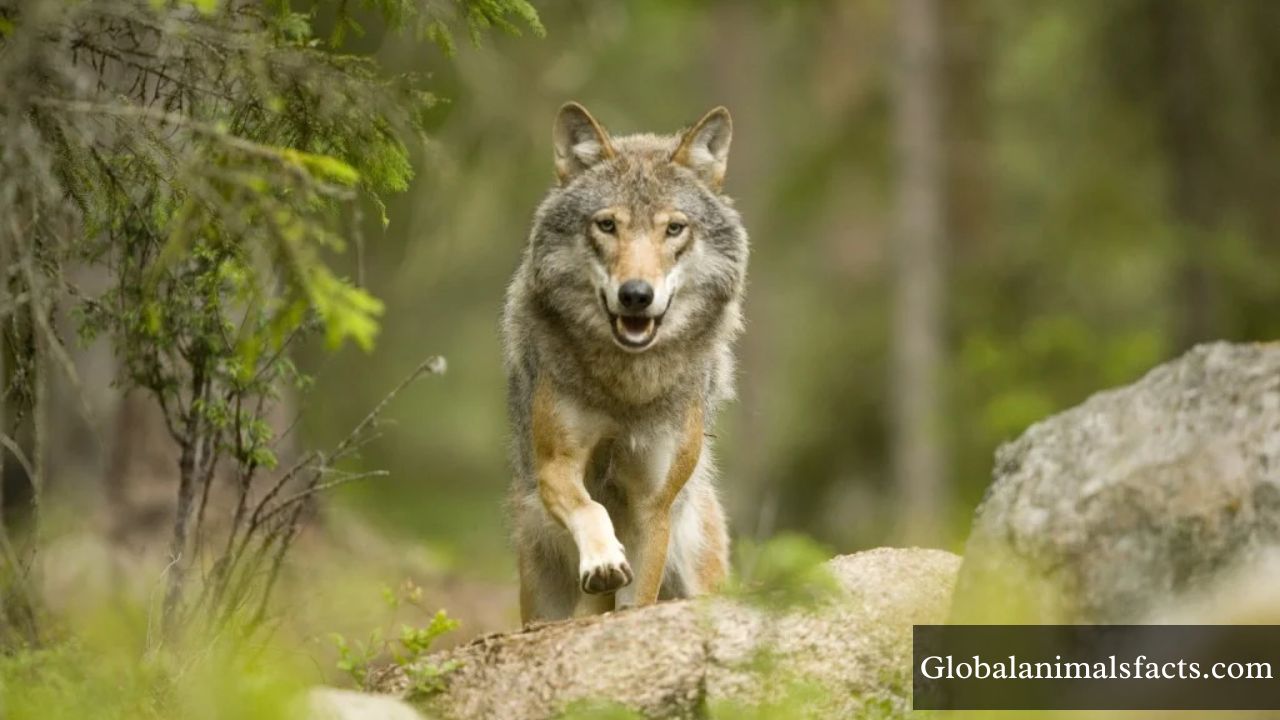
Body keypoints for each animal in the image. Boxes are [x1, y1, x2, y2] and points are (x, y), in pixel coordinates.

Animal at [502, 102, 749, 622]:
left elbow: (638, 600)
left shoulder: (652, 505)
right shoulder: (556, 465)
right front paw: (602, 560)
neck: (629, 387)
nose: (636, 295)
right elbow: (590, 509)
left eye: (673, 228)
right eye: (607, 225)